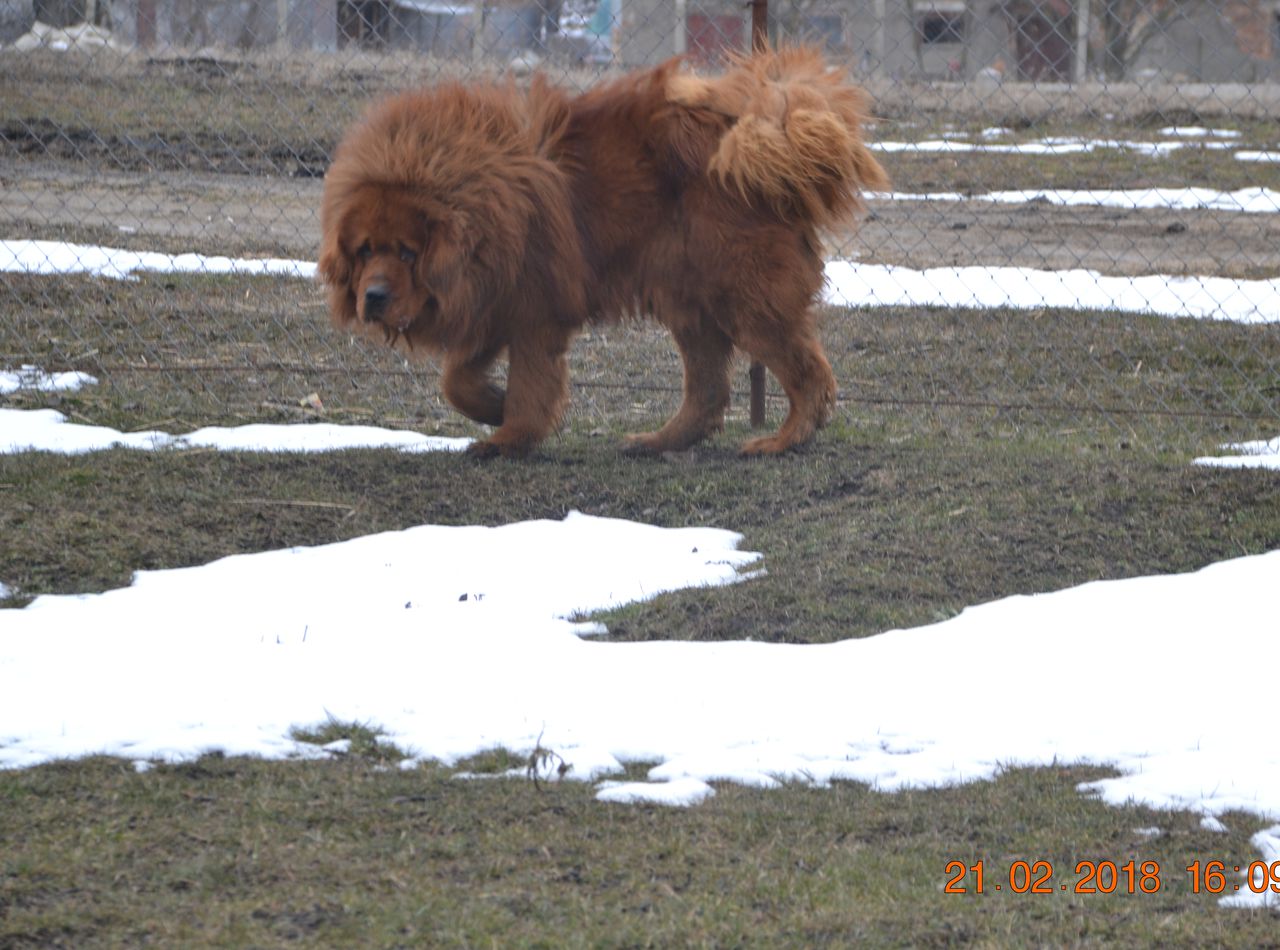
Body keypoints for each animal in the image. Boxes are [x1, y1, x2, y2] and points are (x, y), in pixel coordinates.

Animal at [317, 47, 890, 458]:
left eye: (407, 254)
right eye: (365, 251)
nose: (373, 296)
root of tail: (755, 128)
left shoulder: (533, 314)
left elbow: (530, 387)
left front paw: (508, 437)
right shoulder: (490, 303)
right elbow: (456, 380)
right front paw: (493, 407)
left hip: (746, 299)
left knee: (808, 374)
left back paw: (784, 440)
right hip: (691, 300)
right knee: (707, 392)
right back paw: (659, 442)